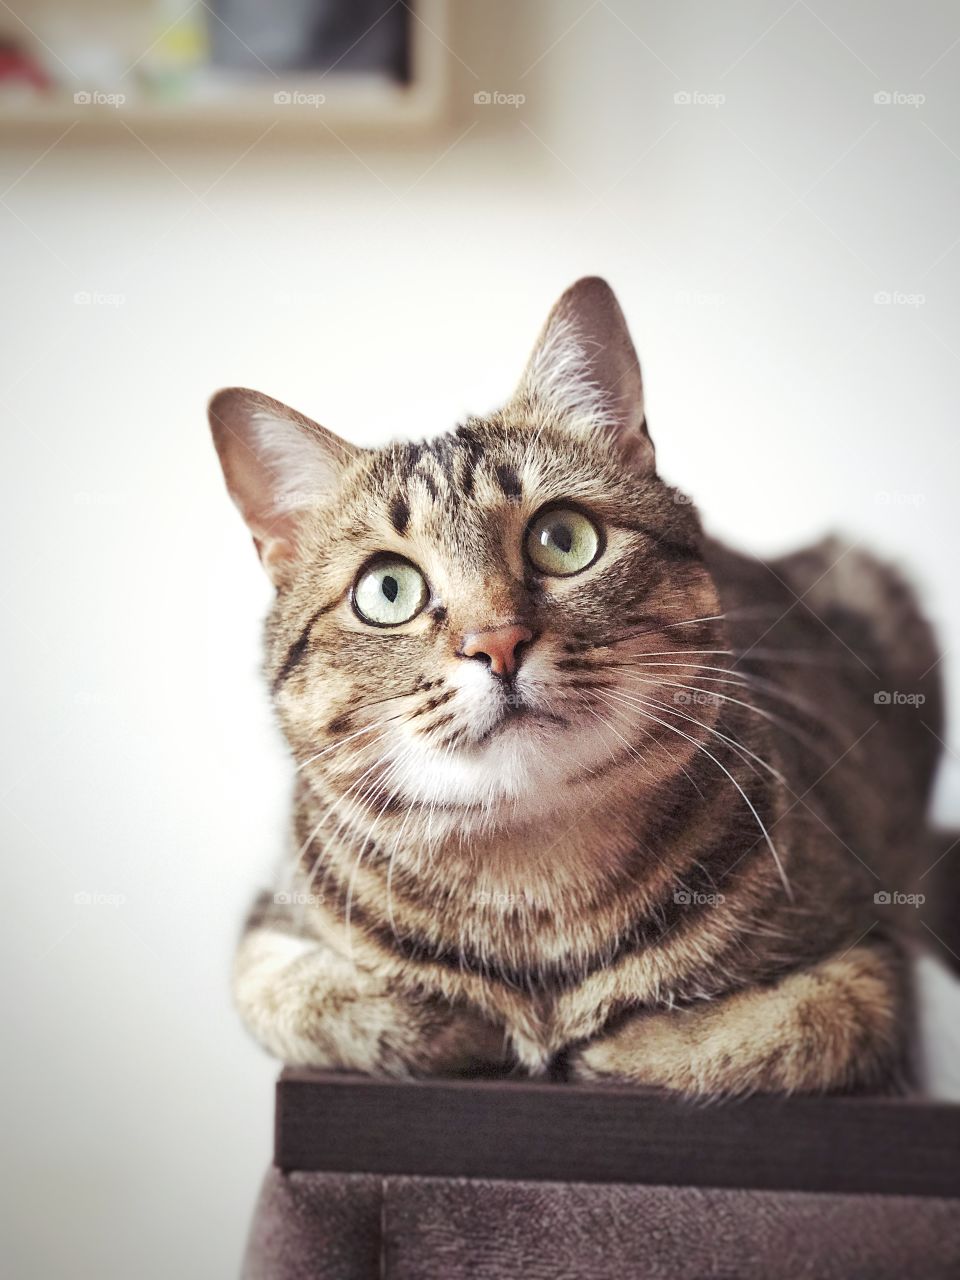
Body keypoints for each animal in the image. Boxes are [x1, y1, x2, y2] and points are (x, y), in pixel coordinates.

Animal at [208, 282, 942, 1100]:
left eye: (563, 540)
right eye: (387, 589)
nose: (496, 641)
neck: (533, 889)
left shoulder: (877, 963)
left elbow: (772, 1030)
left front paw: (607, 1040)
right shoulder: (267, 930)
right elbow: (309, 999)